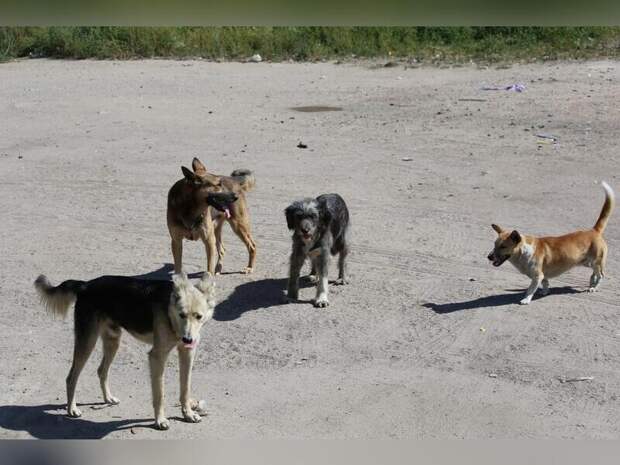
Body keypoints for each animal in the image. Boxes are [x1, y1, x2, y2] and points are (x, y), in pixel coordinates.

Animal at [35, 272, 218, 428]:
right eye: (182, 315)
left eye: (199, 316)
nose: (188, 339)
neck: (169, 311)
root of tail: (85, 285)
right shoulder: (157, 356)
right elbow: (159, 394)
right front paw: (160, 420)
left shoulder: (187, 353)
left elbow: (185, 389)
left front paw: (188, 414)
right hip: (87, 342)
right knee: (71, 377)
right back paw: (71, 409)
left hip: (113, 341)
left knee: (101, 370)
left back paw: (108, 398)